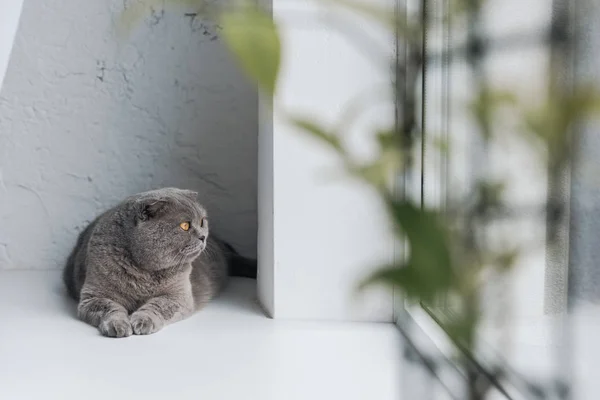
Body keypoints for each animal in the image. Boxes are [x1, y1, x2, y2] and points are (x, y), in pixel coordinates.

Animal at [63, 188, 255, 338]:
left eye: (202, 221)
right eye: (185, 226)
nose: (203, 236)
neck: (143, 272)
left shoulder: (178, 296)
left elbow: (158, 305)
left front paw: (142, 321)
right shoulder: (93, 296)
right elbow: (109, 307)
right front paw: (118, 325)